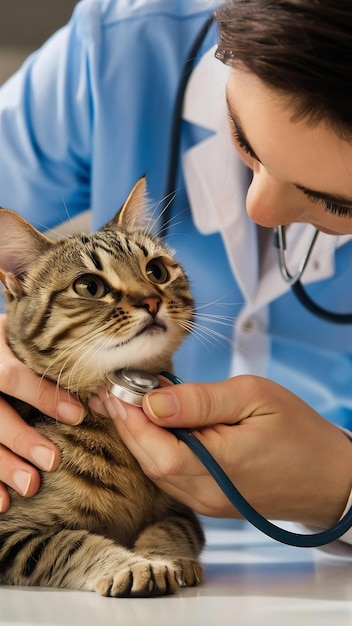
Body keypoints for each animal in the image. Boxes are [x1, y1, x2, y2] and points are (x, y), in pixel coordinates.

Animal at [0, 177, 204, 596]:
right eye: (89, 286)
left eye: (156, 270)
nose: (152, 300)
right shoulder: (9, 534)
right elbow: (70, 542)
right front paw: (132, 565)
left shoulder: (183, 510)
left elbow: (170, 528)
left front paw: (166, 558)